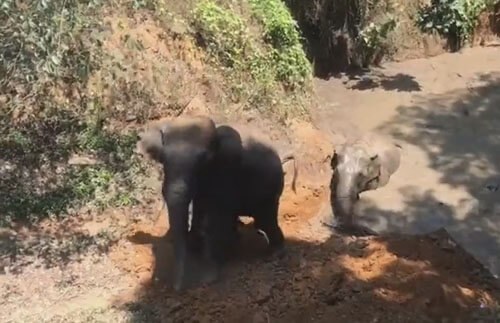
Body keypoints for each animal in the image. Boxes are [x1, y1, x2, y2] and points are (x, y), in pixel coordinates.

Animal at [137, 116, 292, 292]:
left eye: (203, 159)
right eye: (163, 158)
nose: (177, 288)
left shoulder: (226, 167)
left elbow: (216, 217)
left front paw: (207, 278)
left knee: (265, 219)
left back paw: (275, 254)